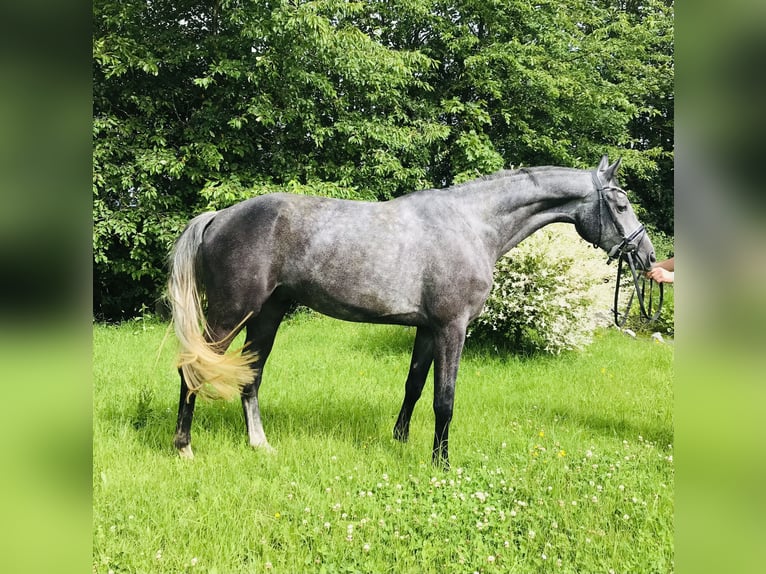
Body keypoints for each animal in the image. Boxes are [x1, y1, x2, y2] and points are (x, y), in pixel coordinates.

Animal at [166, 156, 656, 468]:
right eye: (621, 204)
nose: (648, 256)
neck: (472, 224)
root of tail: (219, 216)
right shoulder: (452, 328)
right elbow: (444, 399)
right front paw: (441, 462)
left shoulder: (426, 329)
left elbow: (414, 386)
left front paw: (400, 442)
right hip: (230, 315)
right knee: (193, 369)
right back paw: (184, 447)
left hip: (267, 315)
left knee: (251, 378)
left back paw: (260, 445)